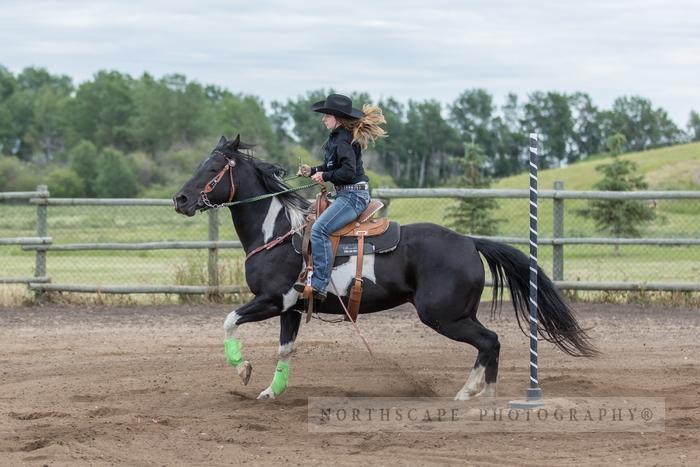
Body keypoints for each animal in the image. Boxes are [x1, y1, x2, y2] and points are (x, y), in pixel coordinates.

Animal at [175, 135, 596, 402]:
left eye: (213, 167)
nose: (180, 199)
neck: (277, 231)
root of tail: (468, 241)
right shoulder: (291, 308)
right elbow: (285, 350)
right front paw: (270, 391)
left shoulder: (273, 300)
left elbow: (229, 321)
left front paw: (242, 369)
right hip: (457, 313)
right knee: (490, 343)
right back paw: (482, 392)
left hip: (442, 315)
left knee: (490, 340)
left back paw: (470, 393)